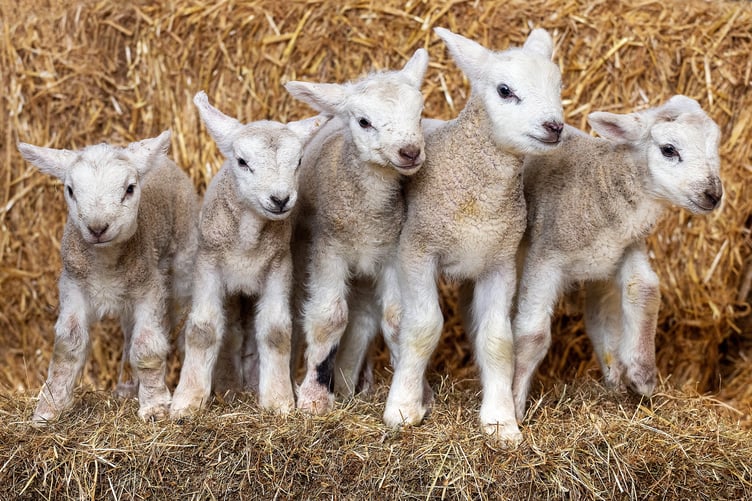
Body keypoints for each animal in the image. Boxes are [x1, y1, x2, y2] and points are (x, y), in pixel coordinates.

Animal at [17, 131, 200, 425]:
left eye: (130, 189)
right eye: (70, 190)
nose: (97, 228)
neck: (105, 263)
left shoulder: (150, 288)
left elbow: (146, 345)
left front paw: (155, 407)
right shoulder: (73, 286)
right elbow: (68, 344)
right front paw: (49, 408)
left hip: (182, 262)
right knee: (128, 333)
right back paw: (126, 386)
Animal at [169, 91, 329, 418]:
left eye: (298, 162)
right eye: (242, 162)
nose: (280, 199)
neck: (248, 242)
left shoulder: (279, 266)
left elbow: (276, 331)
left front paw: (278, 399)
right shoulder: (208, 265)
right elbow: (204, 330)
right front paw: (187, 400)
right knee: (231, 332)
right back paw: (228, 388)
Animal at [284, 47, 429, 414]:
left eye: (420, 115)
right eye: (364, 122)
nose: (410, 152)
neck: (367, 213)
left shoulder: (391, 252)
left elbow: (396, 319)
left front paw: (414, 392)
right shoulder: (327, 250)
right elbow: (329, 318)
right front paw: (314, 397)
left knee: (363, 320)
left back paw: (354, 382)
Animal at [383, 27, 564, 444]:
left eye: (557, 86)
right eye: (504, 90)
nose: (555, 126)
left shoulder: (499, 263)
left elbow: (498, 340)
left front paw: (500, 420)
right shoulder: (416, 250)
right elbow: (423, 327)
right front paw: (402, 407)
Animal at [512, 95, 723, 421]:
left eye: (715, 146)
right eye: (669, 150)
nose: (713, 195)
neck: (598, 184)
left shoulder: (623, 249)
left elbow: (644, 290)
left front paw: (640, 374)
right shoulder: (545, 257)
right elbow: (532, 335)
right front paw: (514, 406)